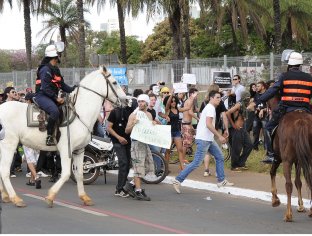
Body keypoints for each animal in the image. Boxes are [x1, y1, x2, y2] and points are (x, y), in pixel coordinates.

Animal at [0, 66, 127, 206]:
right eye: (114, 82)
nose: (127, 100)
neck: (80, 114)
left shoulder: (79, 150)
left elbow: (79, 174)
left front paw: (84, 197)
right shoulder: (66, 150)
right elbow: (66, 174)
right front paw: (50, 196)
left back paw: (5, 195)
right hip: (9, 144)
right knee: (4, 171)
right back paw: (15, 198)